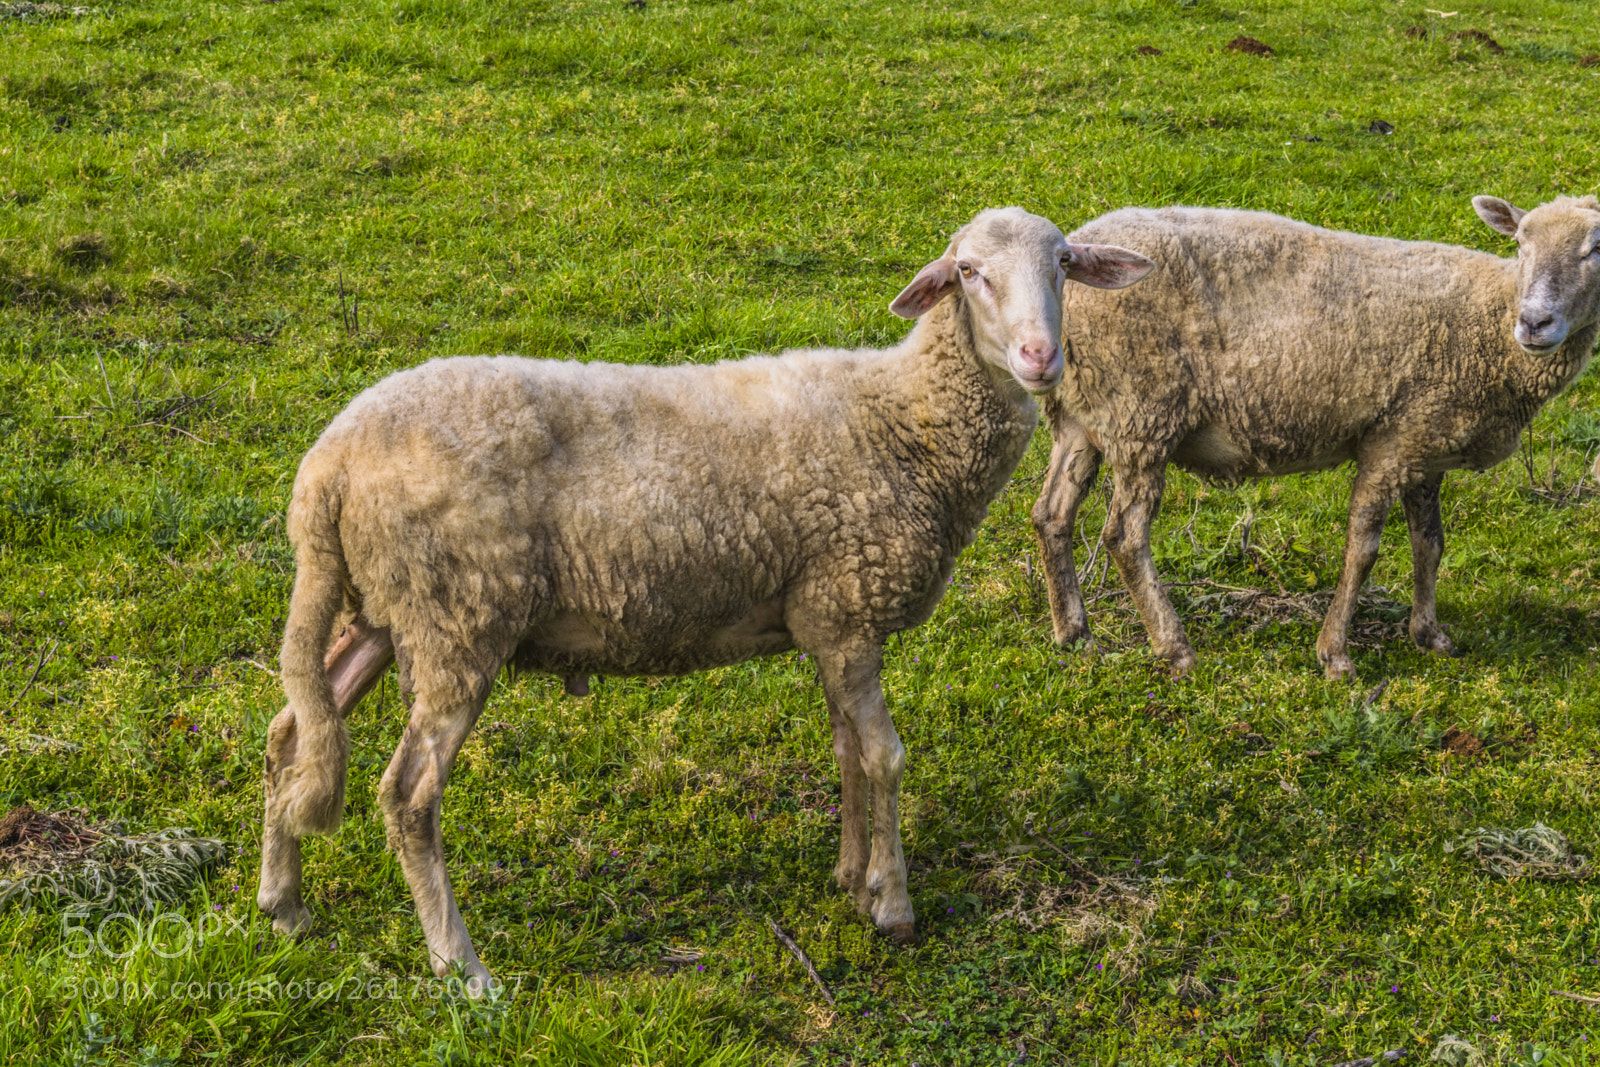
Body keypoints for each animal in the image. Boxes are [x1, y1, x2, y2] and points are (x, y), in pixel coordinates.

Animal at [255, 207, 1155, 991]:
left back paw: (283, 905)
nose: (1042, 357)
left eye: (1064, 263)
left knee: (292, 732)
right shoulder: (850, 607)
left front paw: (849, 875)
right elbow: (885, 756)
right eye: (968, 273)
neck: (905, 418)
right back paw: (462, 966)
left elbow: (846, 750)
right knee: (408, 796)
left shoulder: (825, 618)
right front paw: (893, 906)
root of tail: (325, 469)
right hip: (459, 620)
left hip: (383, 609)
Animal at [1030, 195, 1600, 680]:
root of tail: (1070, 264)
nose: (1534, 322)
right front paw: (1335, 655)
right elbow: (1363, 550)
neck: (1490, 322)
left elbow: (1430, 544)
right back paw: (1174, 648)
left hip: (1082, 415)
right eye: (1521, 243)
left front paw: (1429, 635)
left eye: (1594, 250)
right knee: (1125, 535)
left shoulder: (1425, 440)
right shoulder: (1390, 442)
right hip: (1141, 410)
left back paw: (1074, 635)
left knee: (1051, 514)